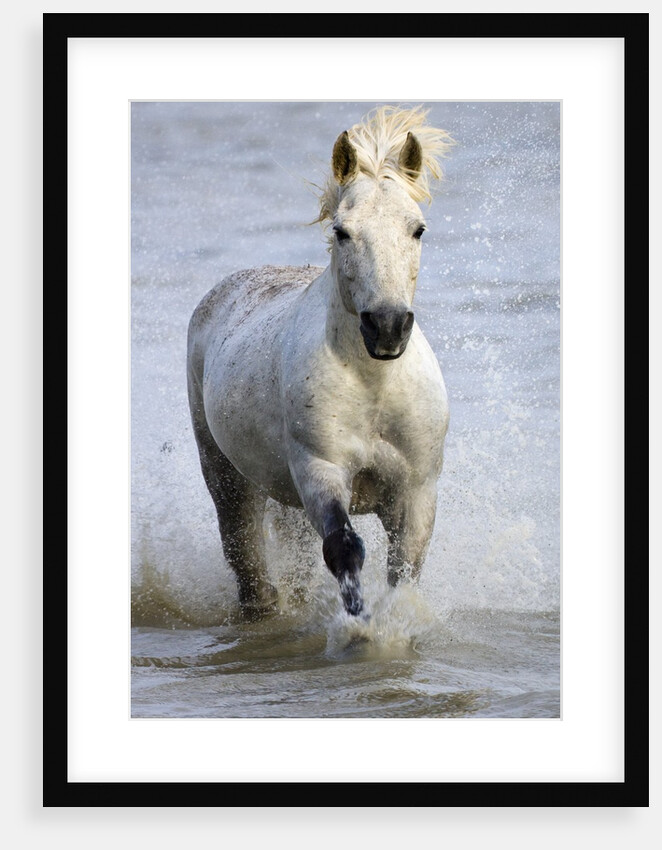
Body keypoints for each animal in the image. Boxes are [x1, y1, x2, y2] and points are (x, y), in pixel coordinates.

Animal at [187, 106, 453, 620]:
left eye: (418, 229)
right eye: (342, 231)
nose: (387, 326)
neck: (374, 387)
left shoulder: (416, 492)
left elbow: (404, 568)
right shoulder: (320, 470)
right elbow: (344, 549)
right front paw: (360, 625)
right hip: (227, 478)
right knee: (249, 564)